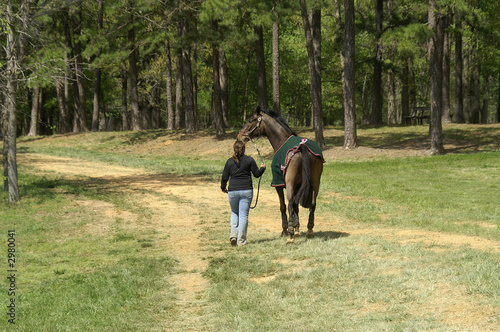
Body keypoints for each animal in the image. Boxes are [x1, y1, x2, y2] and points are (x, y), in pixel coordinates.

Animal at [237, 106, 324, 244]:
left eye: (250, 120)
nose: (239, 136)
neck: (282, 140)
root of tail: (302, 146)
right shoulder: (298, 186)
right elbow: (297, 206)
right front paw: (297, 229)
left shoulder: (278, 185)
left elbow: (283, 206)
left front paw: (286, 230)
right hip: (315, 182)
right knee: (312, 204)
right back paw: (309, 231)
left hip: (290, 184)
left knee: (290, 205)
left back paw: (290, 237)